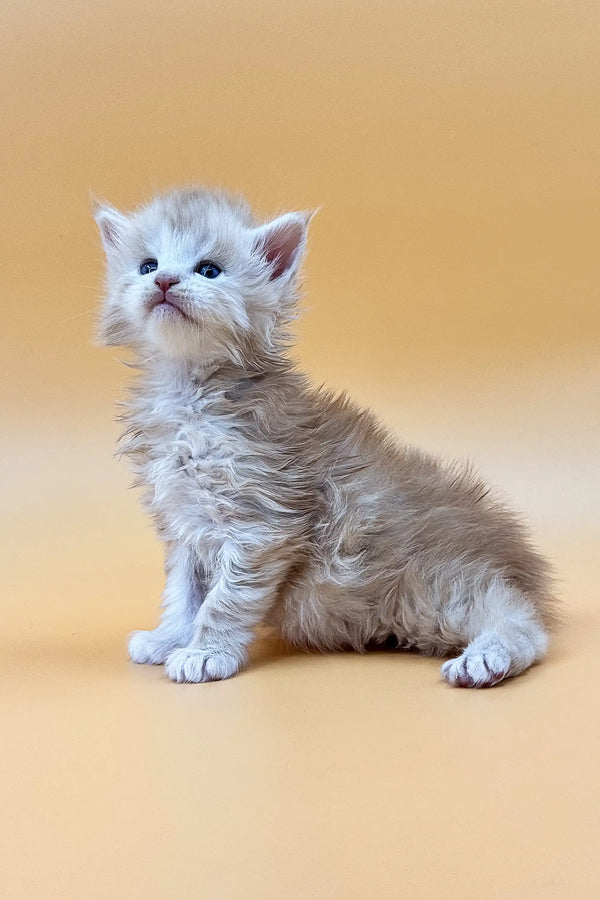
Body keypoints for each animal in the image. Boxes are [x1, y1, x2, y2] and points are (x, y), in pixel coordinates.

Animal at [94, 186, 556, 684]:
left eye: (209, 270)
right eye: (148, 265)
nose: (164, 282)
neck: (191, 393)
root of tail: (515, 553)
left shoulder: (261, 521)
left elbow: (224, 599)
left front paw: (206, 651)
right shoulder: (185, 525)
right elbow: (183, 592)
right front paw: (169, 638)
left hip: (430, 589)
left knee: (520, 620)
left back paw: (486, 655)